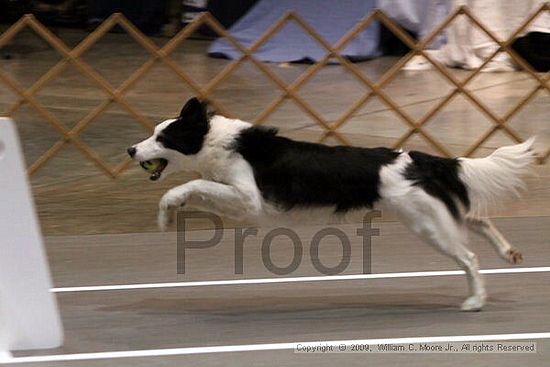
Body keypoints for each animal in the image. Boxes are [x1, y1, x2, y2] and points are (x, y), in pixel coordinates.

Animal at [127, 97, 536, 310]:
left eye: (163, 138)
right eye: (152, 134)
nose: (131, 150)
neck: (217, 140)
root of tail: (423, 160)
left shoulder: (250, 200)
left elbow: (194, 183)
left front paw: (167, 209)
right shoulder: (238, 201)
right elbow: (200, 191)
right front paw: (170, 213)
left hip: (427, 224)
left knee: (469, 256)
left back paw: (476, 301)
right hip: (430, 215)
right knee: (477, 219)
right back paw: (509, 253)